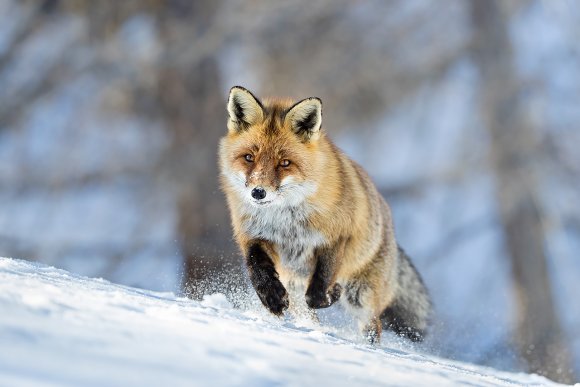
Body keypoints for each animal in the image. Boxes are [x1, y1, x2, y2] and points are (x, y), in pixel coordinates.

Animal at [220, 87, 432, 342]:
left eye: (285, 163)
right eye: (249, 157)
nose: (258, 192)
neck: (286, 221)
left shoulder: (336, 239)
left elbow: (319, 291)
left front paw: (331, 294)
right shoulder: (253, 236)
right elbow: (257, 268)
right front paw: (271, 297)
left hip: (361, 297)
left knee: (373, 324)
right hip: (295, 286)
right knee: (307, 312)